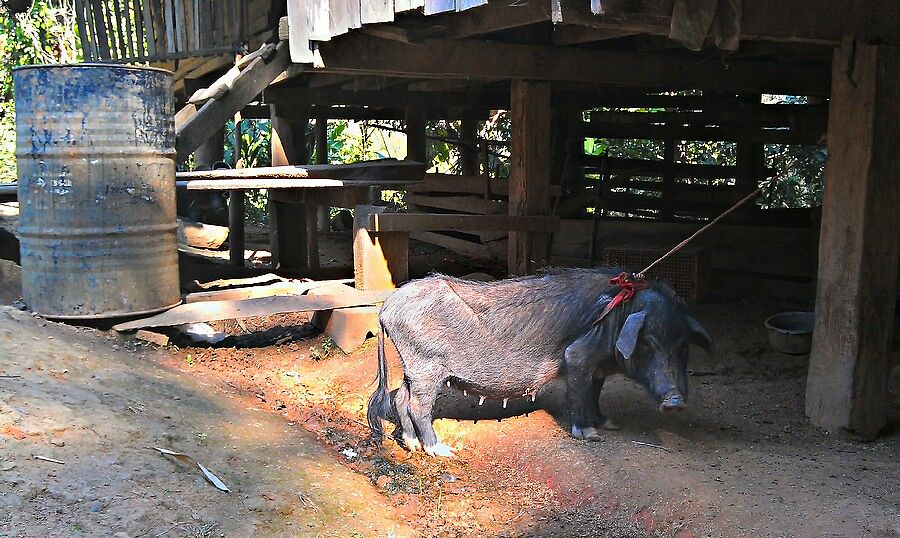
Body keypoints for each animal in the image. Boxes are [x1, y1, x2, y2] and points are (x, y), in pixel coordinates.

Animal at [366, 266, 712, 454]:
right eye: (648, 343)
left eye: (683, 346)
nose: (675, 401)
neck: (621, 311)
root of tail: (386, 307)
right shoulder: (578, 356)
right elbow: (578, 393)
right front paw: (590, 435)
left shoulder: (598, 366)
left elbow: (595, 393)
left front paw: (609, 424)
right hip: (427, 366)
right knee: (416, 405)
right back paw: (441, 451)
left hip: (414, 368)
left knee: (400, 399)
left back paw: (411, 444)